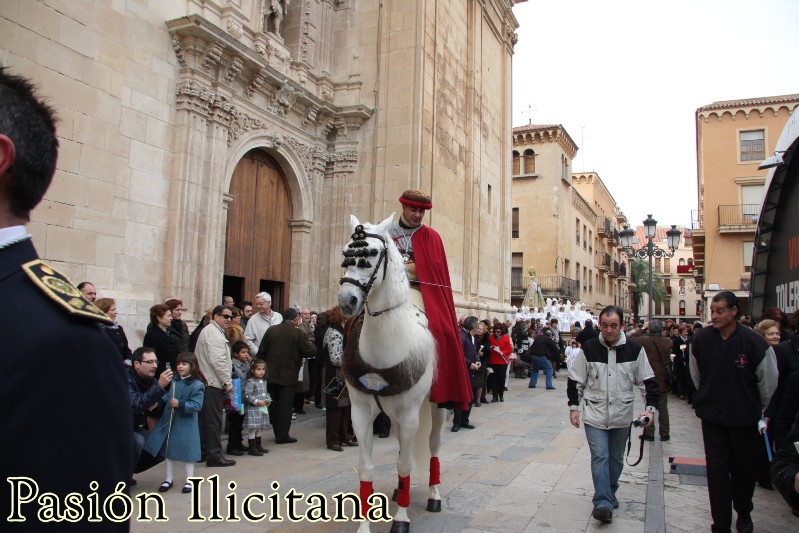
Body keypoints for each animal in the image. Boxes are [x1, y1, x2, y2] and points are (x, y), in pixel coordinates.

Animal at [338, 214, 446, 532]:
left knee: (433, 445)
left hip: (437, 406)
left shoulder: (410, 415)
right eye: (345, 252)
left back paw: (434, 494)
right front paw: (363, 524)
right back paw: (400, 490)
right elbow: (366, 468)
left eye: (372, 253)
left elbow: (406, 464)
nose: (347, 301)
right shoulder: (361, 413)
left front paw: (401, 519)